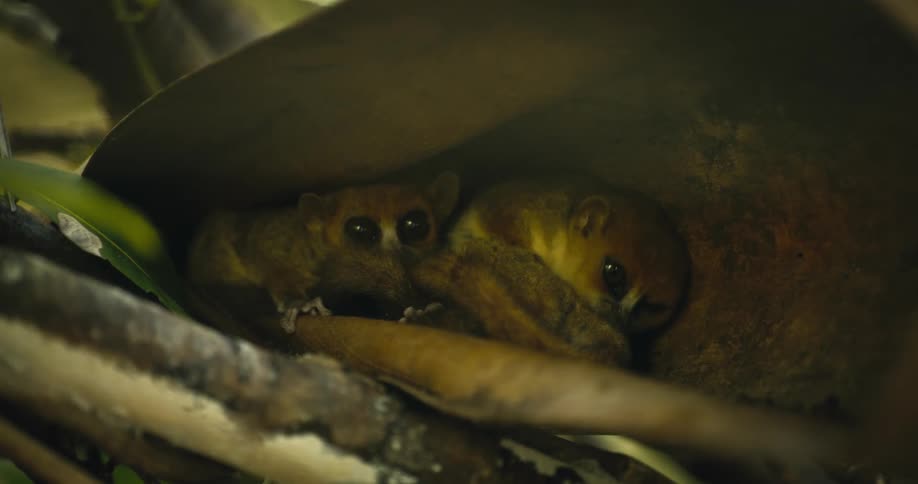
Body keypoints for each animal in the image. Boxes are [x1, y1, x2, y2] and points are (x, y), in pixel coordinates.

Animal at [185, 172, 460, 350]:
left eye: (415, 225)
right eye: (360, 230)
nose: (394, 248)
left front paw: (422, 310)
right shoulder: (282, 238)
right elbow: (259, 252)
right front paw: (299, 303)